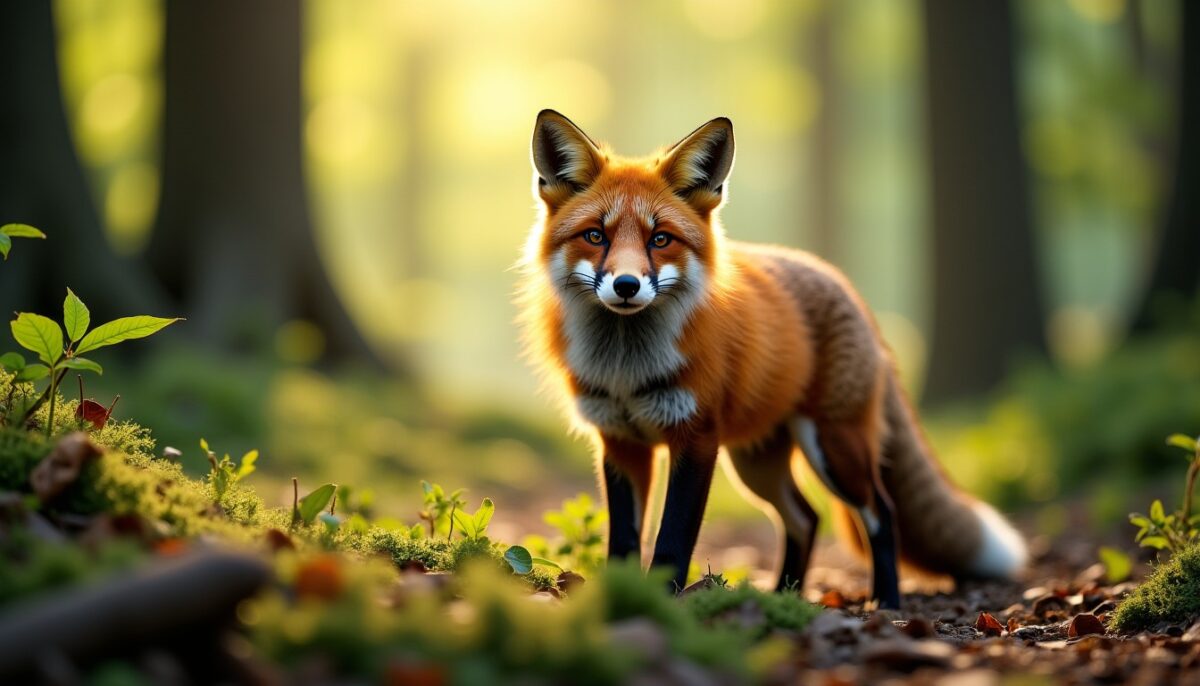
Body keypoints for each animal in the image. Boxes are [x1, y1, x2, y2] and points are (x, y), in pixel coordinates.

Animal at [518, 110, 1027, 607]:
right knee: (805, 517)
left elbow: (672, 540)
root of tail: (844, 285)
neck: (627, 370)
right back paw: (786, 596)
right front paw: (621, 599)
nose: (626, 285)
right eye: (595, 235)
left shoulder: (696, 439)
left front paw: (663, 603)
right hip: (756, 463)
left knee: (882, 511)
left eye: (660, 239)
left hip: (834, 448)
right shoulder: (621, 443)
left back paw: (885, 602)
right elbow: (624, 542)